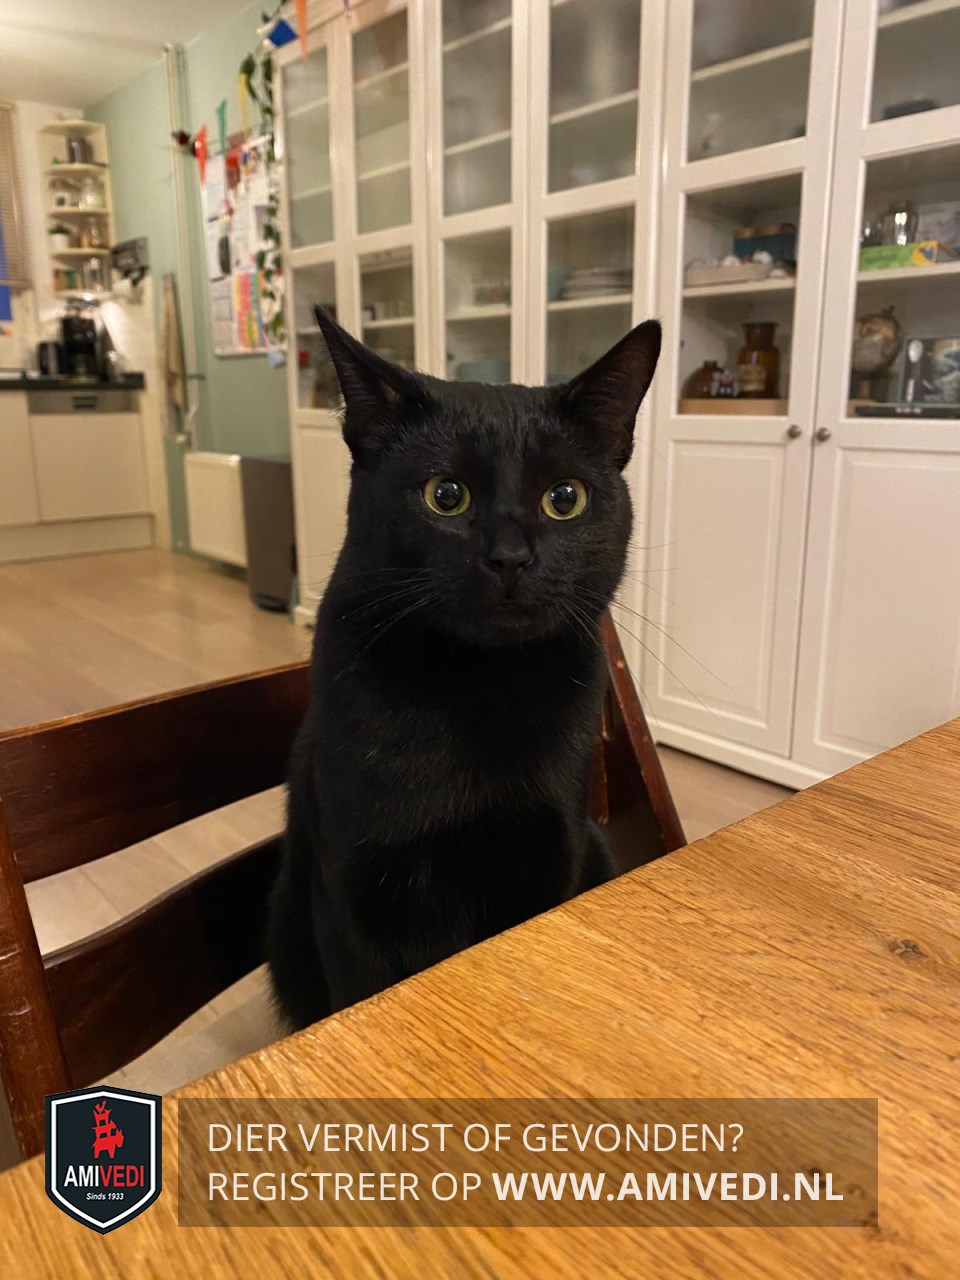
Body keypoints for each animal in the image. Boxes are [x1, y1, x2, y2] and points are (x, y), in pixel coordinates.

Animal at [266, 308, 661, 1030]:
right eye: (444, 495)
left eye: (565, 498)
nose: (510, 558)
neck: (475, 689)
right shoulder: (351, 898)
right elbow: (361, 994)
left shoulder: (552, 857)